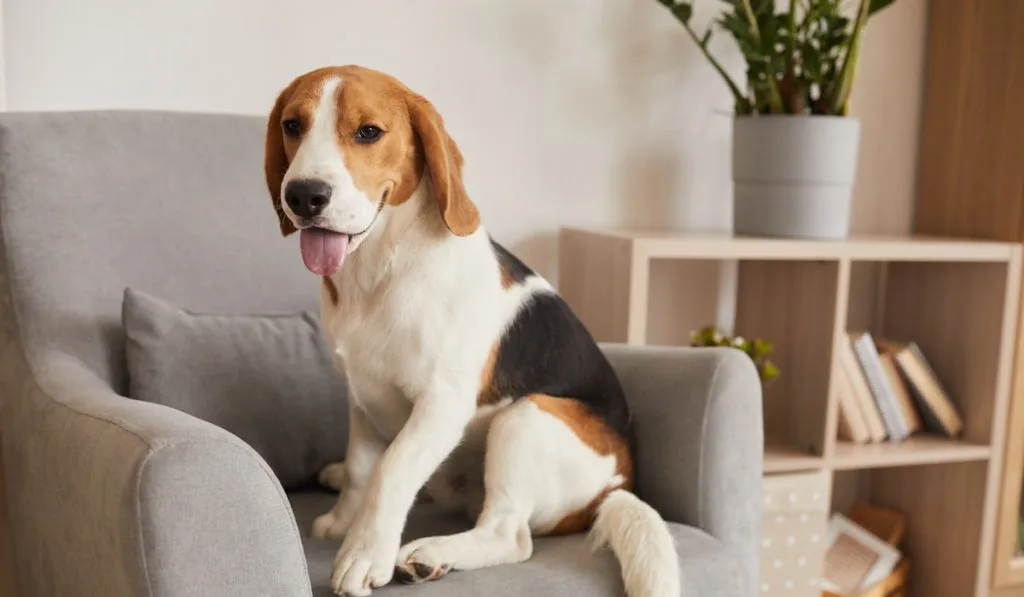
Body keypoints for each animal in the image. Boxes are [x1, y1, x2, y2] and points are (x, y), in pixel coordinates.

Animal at [262, 66, 679, 597]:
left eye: (368, 132)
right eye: (293, 125)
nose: (304, 195)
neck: (380, 268)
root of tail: (617, 486)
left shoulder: (442, 404)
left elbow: (391, 470)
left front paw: (363, 554)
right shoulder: (360, 393)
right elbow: (361, 468)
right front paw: (342, 521)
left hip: (525, 418)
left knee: (510, 535)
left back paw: (430, 554)